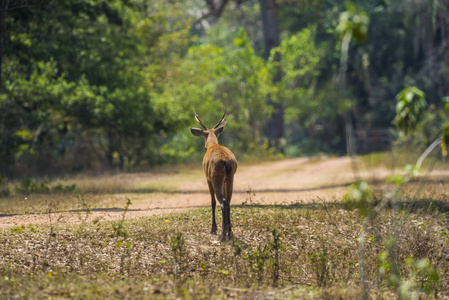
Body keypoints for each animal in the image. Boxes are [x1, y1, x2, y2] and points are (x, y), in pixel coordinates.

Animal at [190, 109, 238, 241]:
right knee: (228, 201)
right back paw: (230, 233)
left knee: (222, 201)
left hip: (217, 177)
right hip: (230, 178)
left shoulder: (208, 178)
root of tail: (226, 161)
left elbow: (212, 202)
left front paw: (213, 229)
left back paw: (223, 234)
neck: (212, 145)